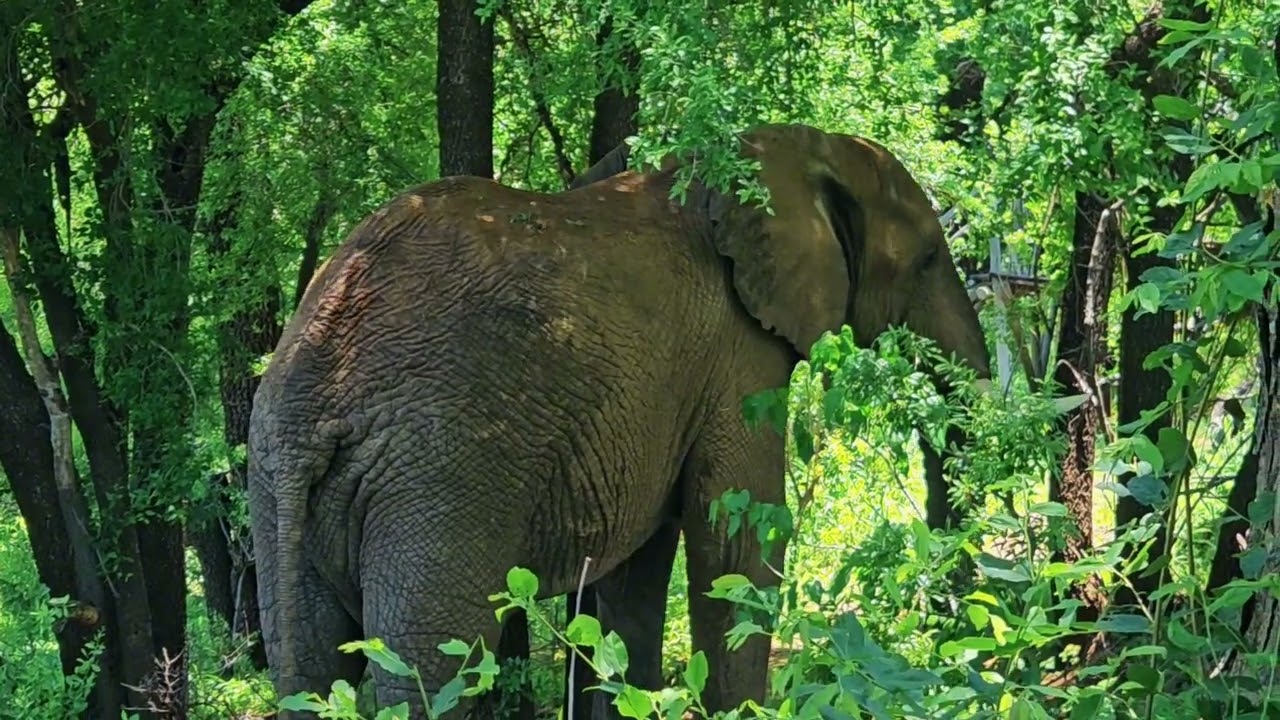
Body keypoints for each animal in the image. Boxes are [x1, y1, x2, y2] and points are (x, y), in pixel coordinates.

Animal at [247, 122, 992, 718]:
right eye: (929, 258)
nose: (948, 630)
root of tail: (310, 394)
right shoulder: (736, 353)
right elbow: (735, 539)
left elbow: (636, 569)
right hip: (436, 483)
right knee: (428, 670)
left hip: (280, 496)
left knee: (310, 668)